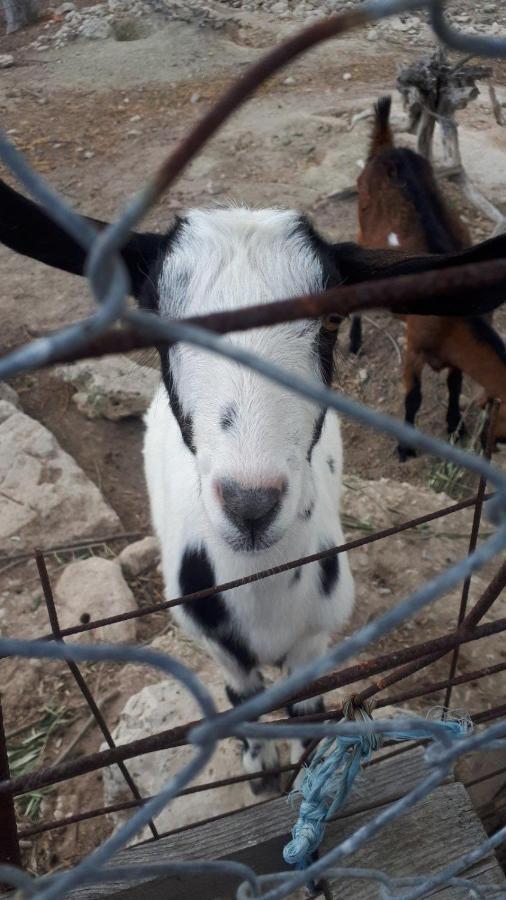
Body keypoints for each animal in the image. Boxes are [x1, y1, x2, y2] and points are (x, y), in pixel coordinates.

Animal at [0, 174, 504, 788]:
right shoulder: (221, 651)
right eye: (152, 318)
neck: (263, 599)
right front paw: (259, 770)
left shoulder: (314, 645)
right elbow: (242, 704)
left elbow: (307, 715)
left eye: (333, 319)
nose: (250, 505)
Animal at [352, 96, 506, 460]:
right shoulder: (415, 347)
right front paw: (405, 447)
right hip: (363, 225)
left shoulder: (455, 356)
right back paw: (354, 341)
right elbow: (413, 397)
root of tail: (387, 148)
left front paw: (455, 427)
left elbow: (455, 384)